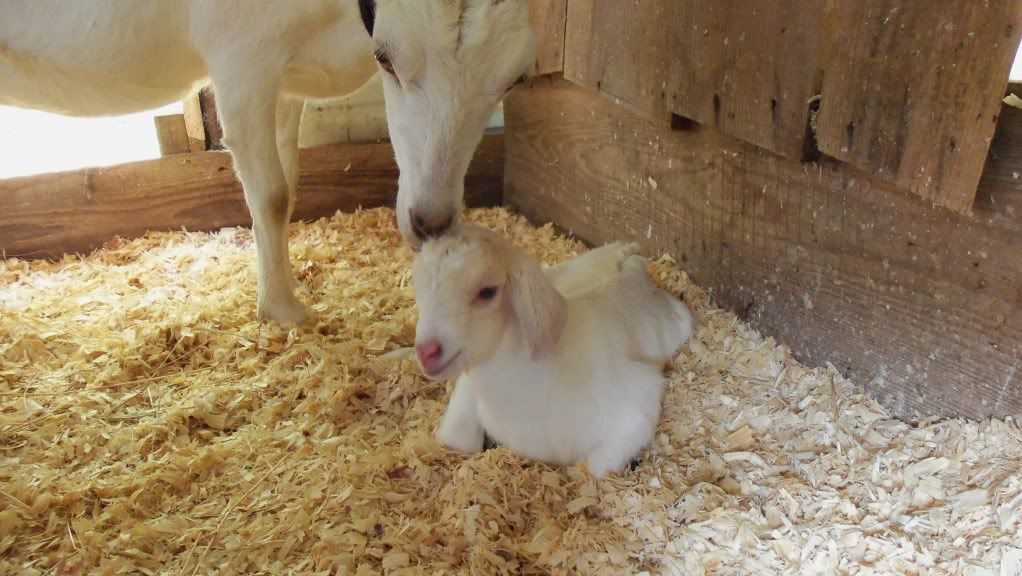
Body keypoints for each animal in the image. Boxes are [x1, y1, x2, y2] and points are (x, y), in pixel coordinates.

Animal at [0, 0, 534, 323]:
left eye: (514, 81)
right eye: (384, 59)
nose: (431, 222)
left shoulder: (286, 77)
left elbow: (287, 184)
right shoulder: (242, 63)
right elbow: (273, 195)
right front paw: (284, 309)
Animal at [412, 224, 694, 478]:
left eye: (487, 292)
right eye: (419, 288)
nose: (426, 351)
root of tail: (627, 255)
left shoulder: (635, 407)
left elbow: (591, 470)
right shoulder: (467, 390)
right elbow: (457, 440)